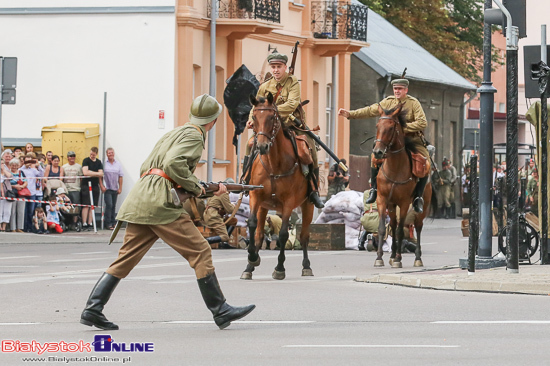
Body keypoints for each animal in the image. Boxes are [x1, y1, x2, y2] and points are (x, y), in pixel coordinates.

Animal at [240, 92, 314, 280]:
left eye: (272, 117)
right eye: (254, 117)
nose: (262, 146)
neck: (274, 164)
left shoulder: (288, 202)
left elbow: (283, 234)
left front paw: (279, 268)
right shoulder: (255, 197)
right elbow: (252, 224)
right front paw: (252, 258)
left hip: (308, 205)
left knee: (304, 236)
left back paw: (306, 266)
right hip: (264, 206)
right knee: (259, 233)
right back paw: (249, 267)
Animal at [374, 104, 438, 268]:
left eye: (391, 127)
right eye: (378, 125)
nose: (377, 152)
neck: (395, 168)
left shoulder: (403, 203)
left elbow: (401, 232)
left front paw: (398, 259)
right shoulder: (382, 200)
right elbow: (383, 228)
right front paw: (379, 258)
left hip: (422, 207)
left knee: (418, 226)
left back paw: (417, 258)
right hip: (392, 206)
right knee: (393, 224)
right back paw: (392, 255)